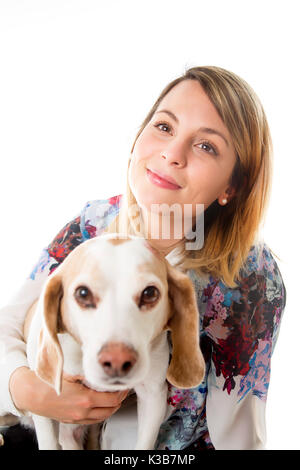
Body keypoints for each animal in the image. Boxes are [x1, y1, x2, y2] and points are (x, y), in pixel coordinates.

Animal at [16, 233, 205, 450]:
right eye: (83, 293)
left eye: (150, 293)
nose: (116, 360)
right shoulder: (44, 407)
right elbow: (48, 440)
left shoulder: (153, 395)